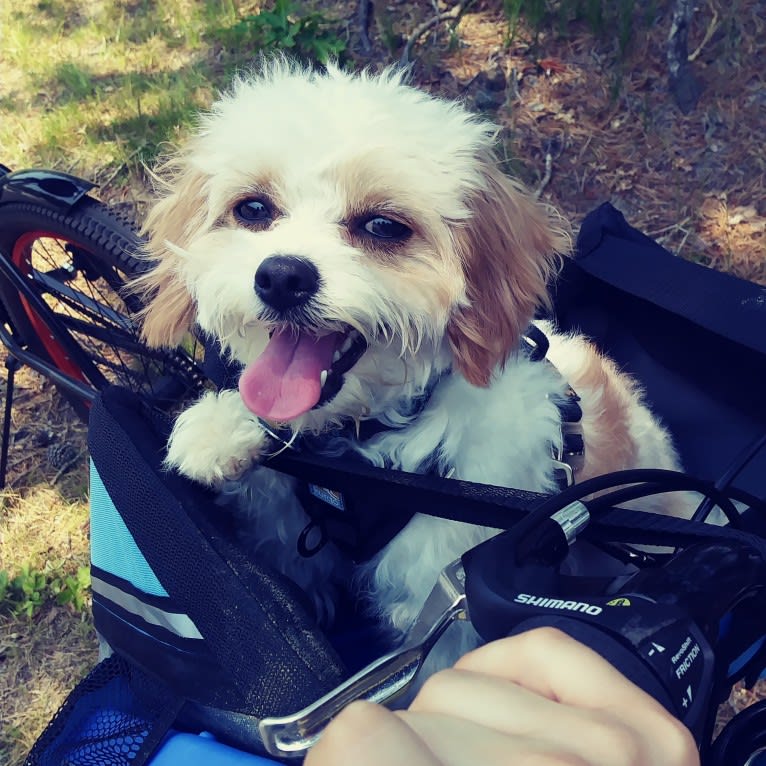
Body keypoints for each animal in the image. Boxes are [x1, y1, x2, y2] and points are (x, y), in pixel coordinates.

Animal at [134, 63, 684, 680]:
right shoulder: (296, 545)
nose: (281, 276)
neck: (362, 448)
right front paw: (221, 430)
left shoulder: (440, 601)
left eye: (382, 225)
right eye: (253, 209)